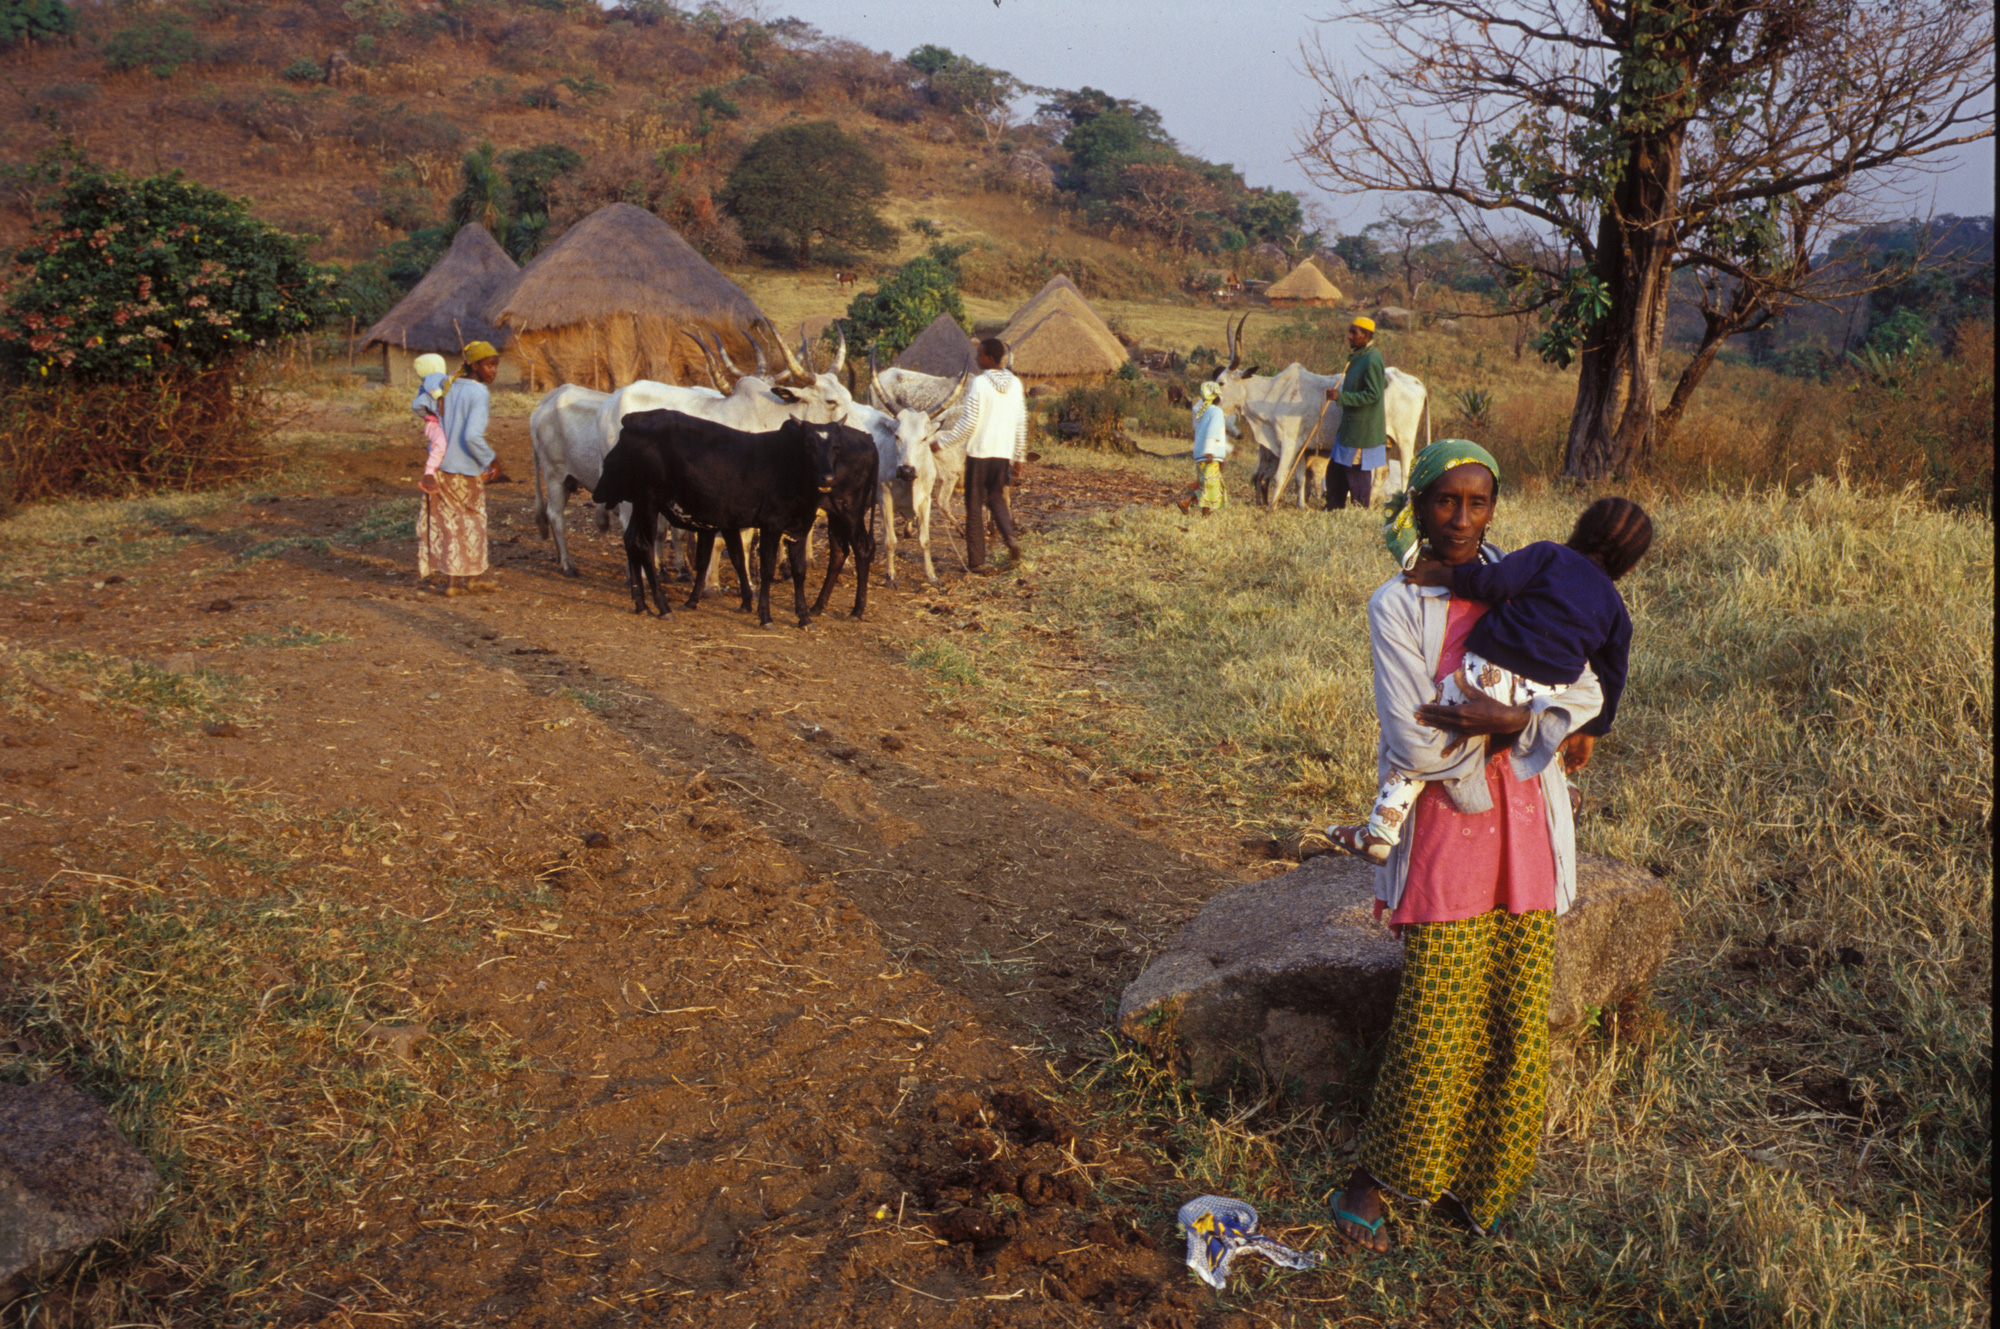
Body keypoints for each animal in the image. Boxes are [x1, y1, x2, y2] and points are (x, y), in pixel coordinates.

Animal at [1208, 314, 1432, 510]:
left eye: (1222, 383)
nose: (1211, 406)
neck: (1274, 393)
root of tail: (1416, 382)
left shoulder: (1289, 443)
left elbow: (1281, 477)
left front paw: (1271, 507)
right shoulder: (1301, 447)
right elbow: (1299, 478)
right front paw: (1301, 505)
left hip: (1405, 440)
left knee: (1405, 472)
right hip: (1383, 442)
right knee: (1381, 473)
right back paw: (1367, 506)